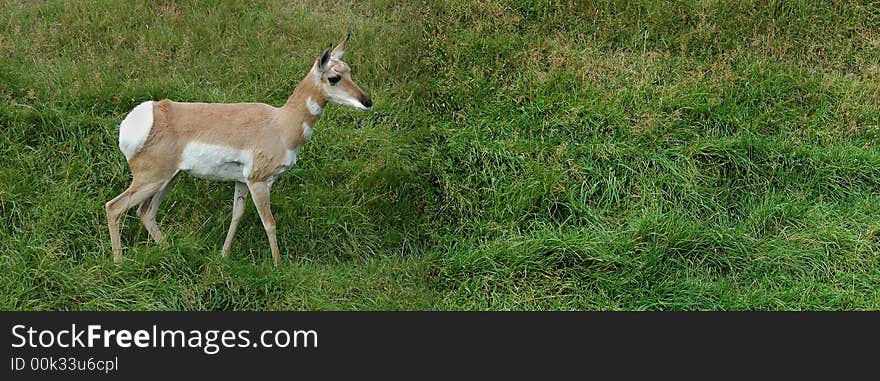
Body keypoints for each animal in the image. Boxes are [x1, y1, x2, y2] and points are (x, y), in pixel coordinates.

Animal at [105, 33, 370, 264]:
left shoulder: (242, 182)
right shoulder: (259, 181)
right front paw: (278, 265)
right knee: (114, 207)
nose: (367, 102)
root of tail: (147, 116)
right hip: (152, 180)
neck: (280, 123)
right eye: (334, 77)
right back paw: (119, 262)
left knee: (145, 212)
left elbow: (237, 215)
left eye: (350, 71)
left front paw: (223, 255)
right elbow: (269, 222)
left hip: (168, 179)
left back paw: (169, 250)